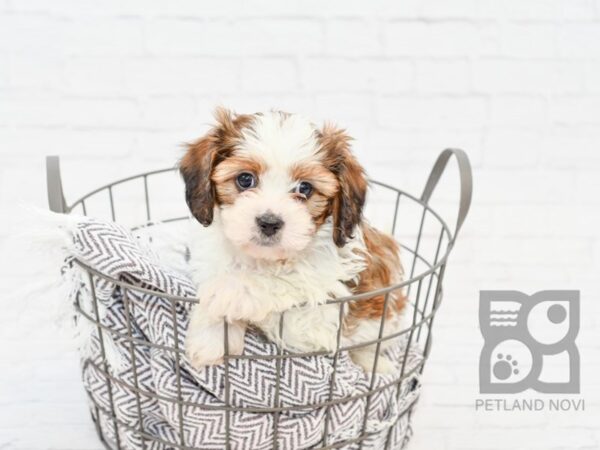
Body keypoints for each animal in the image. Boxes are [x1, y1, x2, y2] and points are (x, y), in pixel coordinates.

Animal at [182, 108, 408, 372]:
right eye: (245, 179)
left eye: (304, 188)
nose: (269, 222)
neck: (265, 260)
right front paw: (210, 336)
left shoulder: (320, 321)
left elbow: (285, 283)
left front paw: (231, 290)